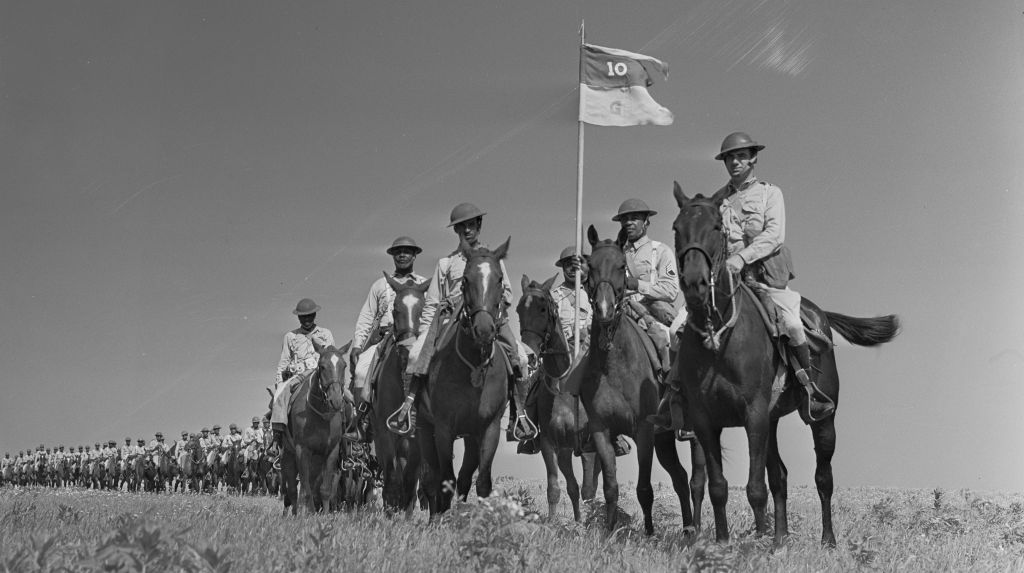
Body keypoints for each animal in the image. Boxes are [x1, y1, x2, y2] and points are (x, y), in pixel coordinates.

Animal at [282, 339, 354, 515]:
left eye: (344, 366)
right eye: (322, 366)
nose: (336, 400)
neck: (321, 416)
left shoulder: (331, 451)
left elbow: (325, 489)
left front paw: (324, 515)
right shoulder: (302, 451)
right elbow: (306, 490)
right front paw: (309, 515)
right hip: (289, 454)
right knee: (293, 490)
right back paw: (295, 513)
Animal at [415, 237, 512, 519]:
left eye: (500, 279)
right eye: (466, 279)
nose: (484, 330)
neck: (474, 366)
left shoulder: (489, 428)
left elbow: (482, 482)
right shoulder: (444, 428)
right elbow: (444, 480)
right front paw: (440, 521)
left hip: (470, 436)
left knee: (465, 477)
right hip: (425, 428)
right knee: (432, 478)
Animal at [516, 272, 602, 519]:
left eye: (544, 308)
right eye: (518, 309)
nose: (529, 355)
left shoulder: (589, 446)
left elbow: (589, 490)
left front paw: (589, 523)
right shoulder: (549, 444)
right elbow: (555, 488)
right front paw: (554, 523)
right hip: (565, 451)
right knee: (572, 486)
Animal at [577, 226, 696, 536]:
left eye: (622, 266)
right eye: (590, 266)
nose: (604, 310)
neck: (613, 366)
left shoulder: (643, 431)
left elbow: (644, 488)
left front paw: (650, 534)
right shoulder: (601, 430)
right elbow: (610, 487)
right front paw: (609, 532)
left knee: (696, 478)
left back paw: (696, 528)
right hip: (664, 438)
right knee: (680, 477)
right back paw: (688, 528)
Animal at [671, 184, 905, 544]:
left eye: (716, 227)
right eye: (676, 228)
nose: (694, 283)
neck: (719, 338)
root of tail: (819, 314)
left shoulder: (753, 415)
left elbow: (755, 489)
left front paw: (755, 543)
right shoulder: (705, 421)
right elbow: (719, 488)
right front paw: (723, 544)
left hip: (822, 421)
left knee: (823, 477)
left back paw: (827, 540)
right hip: (771, 421)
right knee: (779, 475)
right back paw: (780, 540)